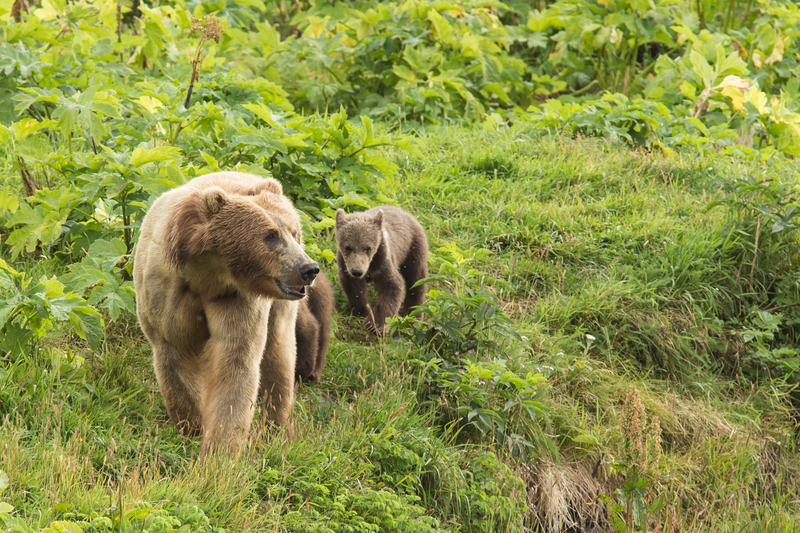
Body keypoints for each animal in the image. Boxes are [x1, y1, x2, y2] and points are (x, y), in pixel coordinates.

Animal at [133, 171, 318, 458]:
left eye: (293, 232)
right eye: (271, 235)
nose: (308, 268)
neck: (206, 274)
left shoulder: (236, 299)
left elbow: (236, 362)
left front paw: (220, 449)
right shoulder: (166, 293)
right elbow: (175, 353)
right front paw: (192, 425)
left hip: (280, 306)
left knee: (279, 354)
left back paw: (276, 425)